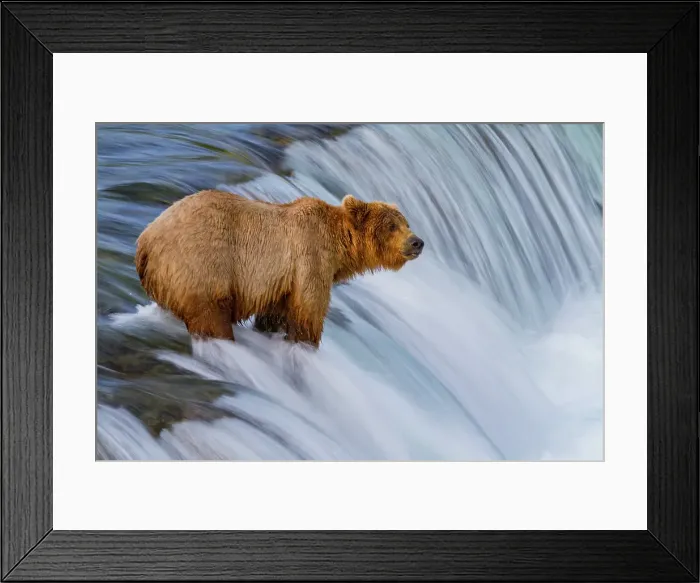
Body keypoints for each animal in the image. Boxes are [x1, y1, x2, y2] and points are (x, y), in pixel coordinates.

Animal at [135, 189, 424, 347]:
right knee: (211, 318)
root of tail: (145, 240)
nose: (417, 242)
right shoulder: (310, 257)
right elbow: (308, 311)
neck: (339, 247)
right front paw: (304, 343)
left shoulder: (281, 281)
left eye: (406, 223)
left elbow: (275, 314)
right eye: (391, 226)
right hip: (202, 265)